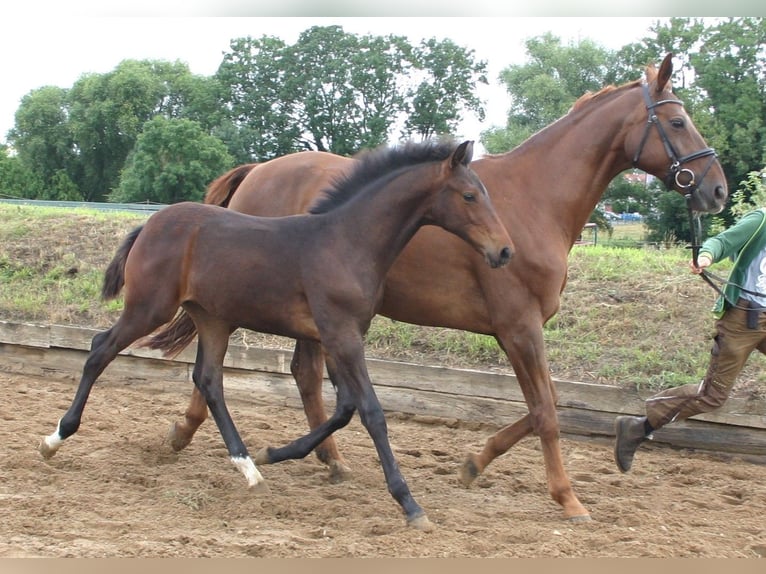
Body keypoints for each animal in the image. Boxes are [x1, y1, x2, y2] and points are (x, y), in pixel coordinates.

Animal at [38, 140, 513, 531]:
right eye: (469, 195)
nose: (504, 250)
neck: (346, 242)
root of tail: (151, 224)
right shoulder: (341, 335)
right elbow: (371, 412)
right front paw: (410, 504)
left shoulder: (340, 336)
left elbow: (344, 407)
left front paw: (276, 453)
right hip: (149, 308)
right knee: (99, 350)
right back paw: (54, 439)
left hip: (213, 319)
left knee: (209, 380)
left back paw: (249, 467)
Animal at [161, 54, 729, 522]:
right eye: (677, 121)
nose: (718, 189)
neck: (535, 200)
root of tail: (257, 170)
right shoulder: (519, 328)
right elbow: (546, 412)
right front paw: (568, 498)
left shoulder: (522, 331)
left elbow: (542, 407)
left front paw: (474, 463)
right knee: (237, 369)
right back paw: (196, 437)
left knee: (298, 375)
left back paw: (322, 459)